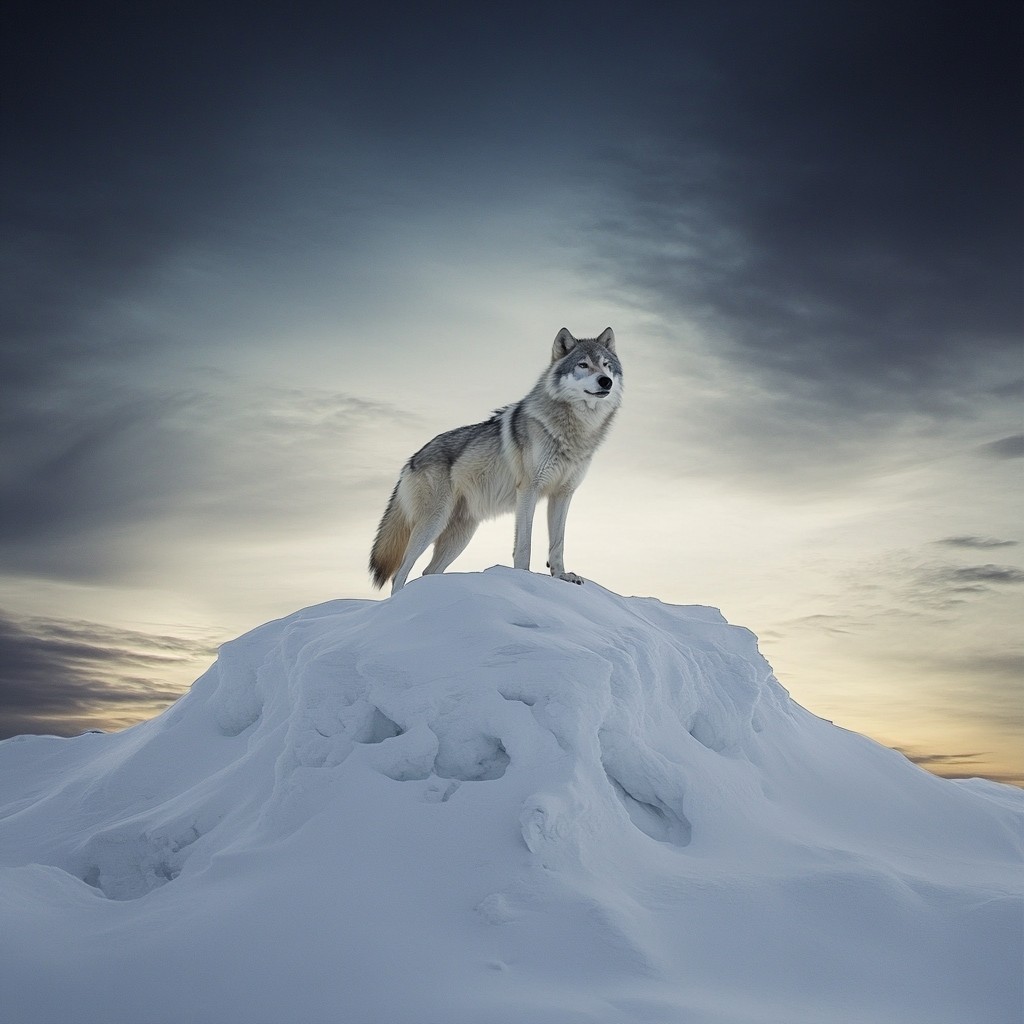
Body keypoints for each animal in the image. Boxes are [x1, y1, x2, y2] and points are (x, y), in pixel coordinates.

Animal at [369, 327, 622, 594]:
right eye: (583, 365)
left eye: (606, 365)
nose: (605, 381)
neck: (574, 432)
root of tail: (411, 460)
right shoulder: (528, 490)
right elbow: (524, 544)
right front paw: (524, 578)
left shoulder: (563, 494)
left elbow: (558, 543)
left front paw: (562, 576)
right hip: (433, 523)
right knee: (400, 574)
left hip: (460, 535)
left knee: (428, 571)